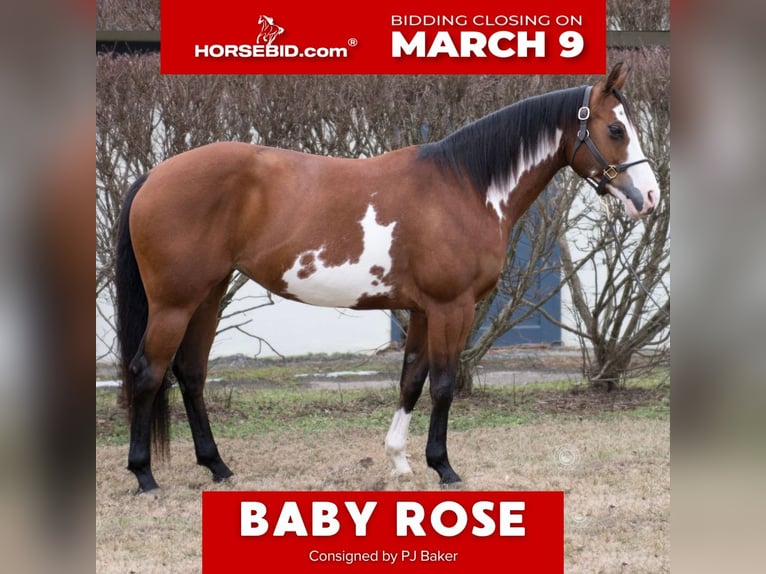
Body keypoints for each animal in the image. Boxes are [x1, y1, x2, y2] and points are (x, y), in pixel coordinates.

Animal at [115, 63, 660, 493]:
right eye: (616, 129)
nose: (650, 197)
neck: (465, 186)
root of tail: (154, 174)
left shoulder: (421, 310)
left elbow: (412, 380)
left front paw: (399, 461)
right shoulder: (451, 306)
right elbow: (443, 383)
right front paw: (444, 468)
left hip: (207, 295)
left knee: (191, 373)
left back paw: (218, 467)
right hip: (174, 302)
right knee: (148, 371)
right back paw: (144, 475)